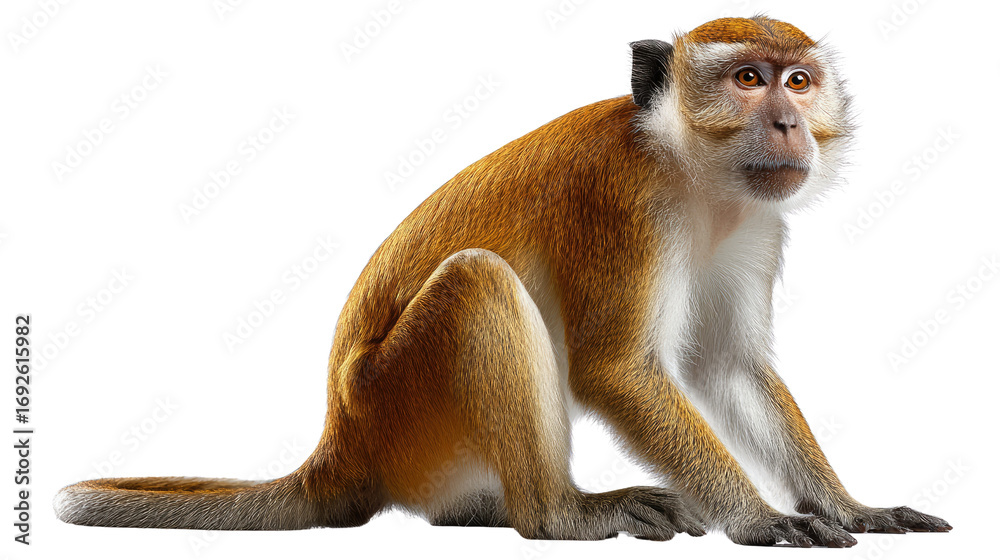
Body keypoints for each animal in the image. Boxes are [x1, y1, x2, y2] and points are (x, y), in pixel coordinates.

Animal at [55, 16, 952, 547]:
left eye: (799, 80)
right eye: (748, 80)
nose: (789, 123)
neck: (691, 175)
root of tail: (338, 447)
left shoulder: (759, 224)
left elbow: (726, 367)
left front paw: (849, 506)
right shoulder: (622, 203)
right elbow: (617, 369)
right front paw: (761, 519)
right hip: (397, 407)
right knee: (477, 283)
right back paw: (559, 515)